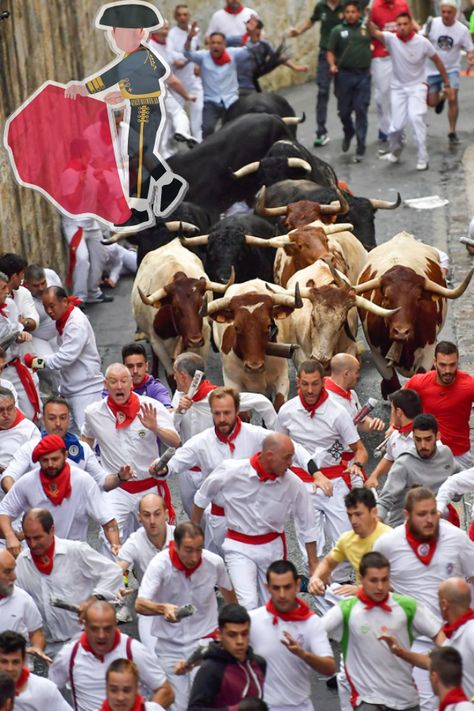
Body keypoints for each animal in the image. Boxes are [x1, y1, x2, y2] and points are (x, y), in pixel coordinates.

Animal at [205, 280, 302, 412]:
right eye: (236, 327)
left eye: (268, 326)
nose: (254, 366)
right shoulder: (232, 382)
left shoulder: (282, 380)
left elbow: (279, 404)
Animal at [354, 234, 472, 400]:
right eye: (386, 298)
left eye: (418, 298)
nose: (401, 332)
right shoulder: (377, 354)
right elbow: (393, 385)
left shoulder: (428, 350)